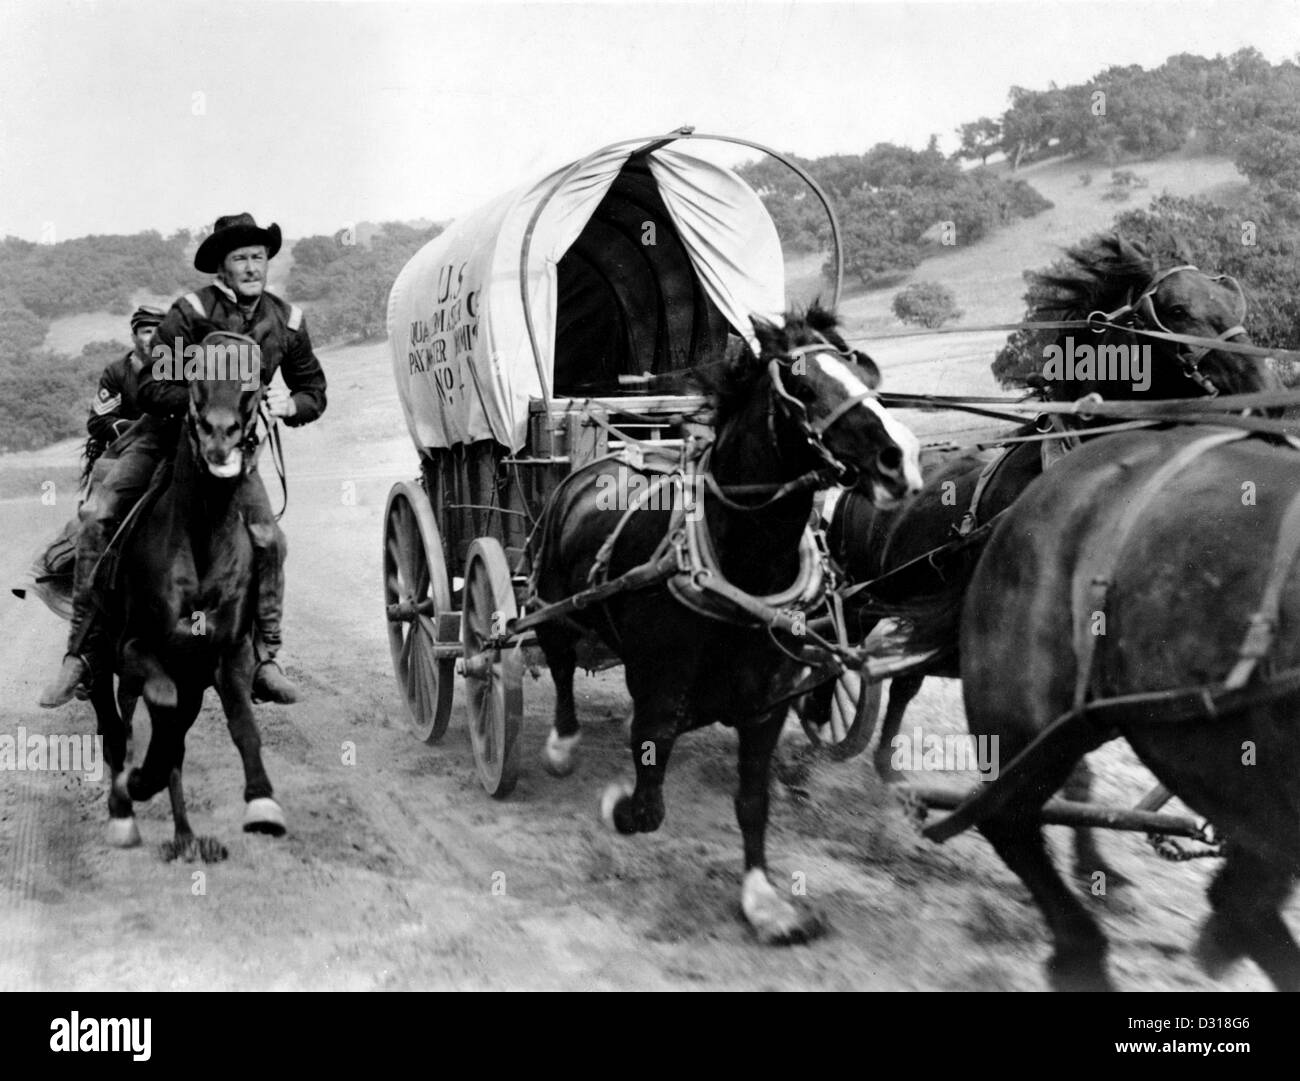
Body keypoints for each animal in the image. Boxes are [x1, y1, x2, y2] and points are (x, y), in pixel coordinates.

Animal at [95, 332, 287, 857]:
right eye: (194, 371)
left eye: (255, 377)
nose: (219, 436)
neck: (201, 541)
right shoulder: (135, 647)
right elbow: (162, 708)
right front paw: (138, 782)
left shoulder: (226, 654)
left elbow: (240, 725)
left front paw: (263, 803)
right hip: (100, 663)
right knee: (114, 726)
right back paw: (124, 809)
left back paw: (184, 835)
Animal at [530, 306, 925, 945]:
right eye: (803, 388)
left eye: (866, 370)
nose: (902, 460)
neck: (742, 569)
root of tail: (600, 462)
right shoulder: (659, 697)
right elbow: (647, 806)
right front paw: (616, 802)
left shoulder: (766, 706)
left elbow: (753, 801)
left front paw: (764, 901)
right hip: (551, 603)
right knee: (560, 663)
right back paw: (562, 745)